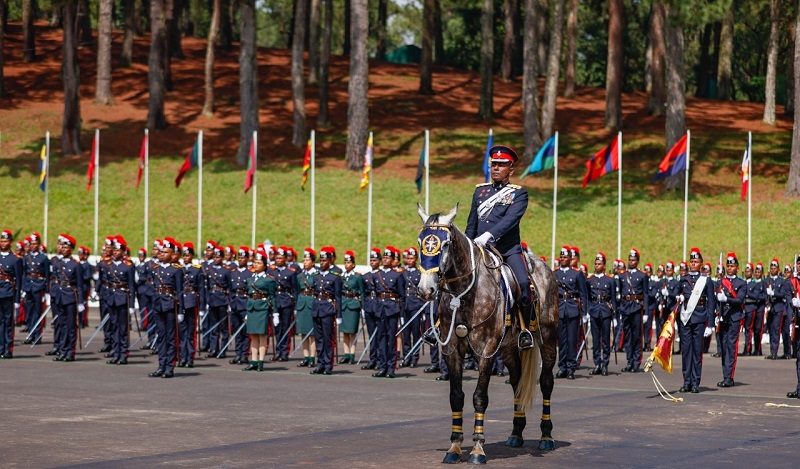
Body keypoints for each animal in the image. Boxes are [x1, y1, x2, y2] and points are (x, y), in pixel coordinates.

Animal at [418, 203, 556, 462]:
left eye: (445, 244)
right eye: (421, 241)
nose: (426, 289)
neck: (464, 293)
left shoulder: (487, 350)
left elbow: (479, 397)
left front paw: (477, 448)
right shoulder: (452, 349)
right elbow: (456, 396)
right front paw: (454, 447)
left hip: (549, 339)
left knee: (546, 382)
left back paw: (546, 436)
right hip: (510, 347)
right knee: (517, 381)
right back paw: (516, 433)